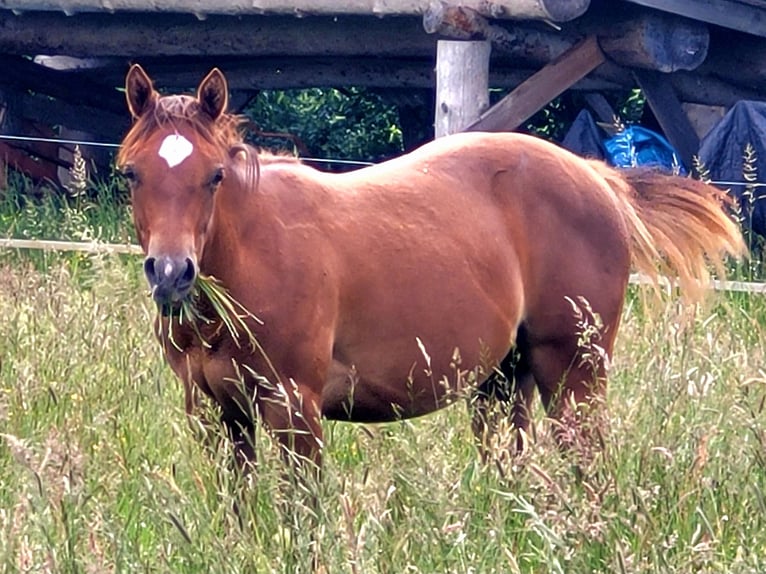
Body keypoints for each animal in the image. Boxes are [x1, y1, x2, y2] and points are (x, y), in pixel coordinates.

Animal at [117, 65, 745, 470]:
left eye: (214, 176)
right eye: (133, 173)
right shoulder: (217, 414)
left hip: (573, 375)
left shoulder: (296, 409)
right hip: (503, 383)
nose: (171, 273)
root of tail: (597, 177)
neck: (255, 257)